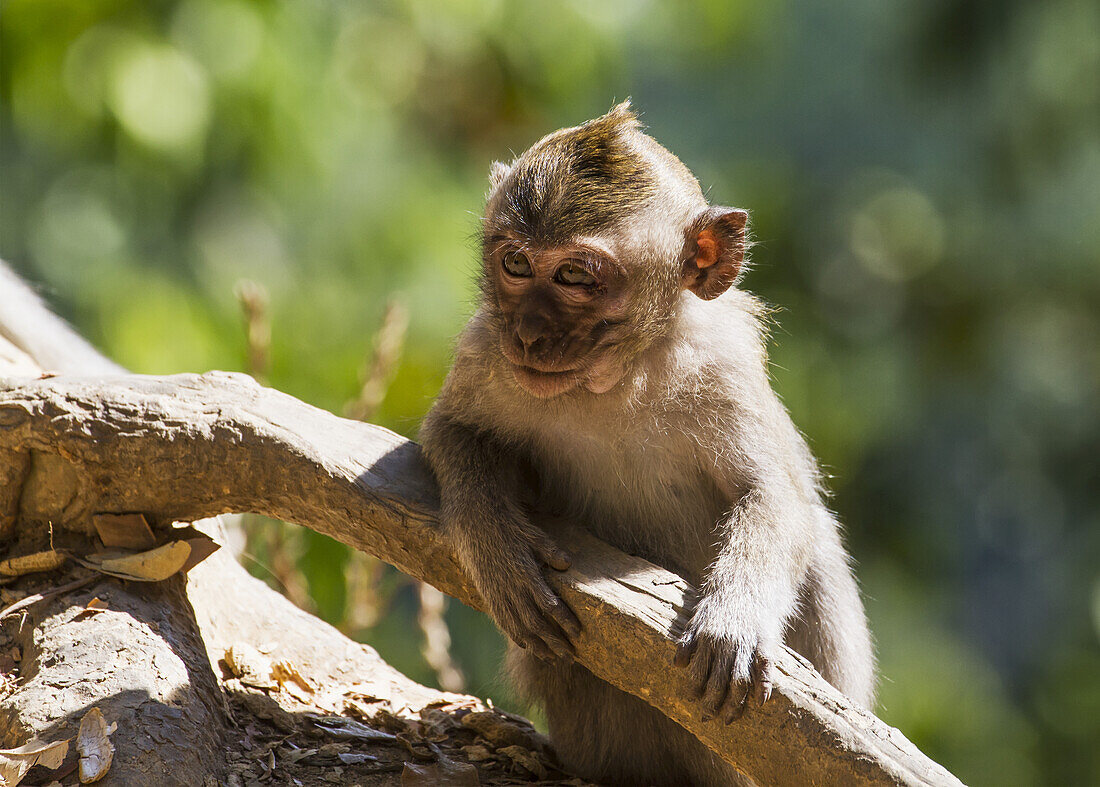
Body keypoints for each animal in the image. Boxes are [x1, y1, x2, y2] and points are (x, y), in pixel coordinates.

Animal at [420, 104, 875, 787]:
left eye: (574, 275)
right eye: (516, 264)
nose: (528, 334)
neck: (613, 378)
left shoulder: (721, 369)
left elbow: (777, 497)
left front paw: (735, 617)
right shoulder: (485, 350)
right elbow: (449, 432)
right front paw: (500, 551)